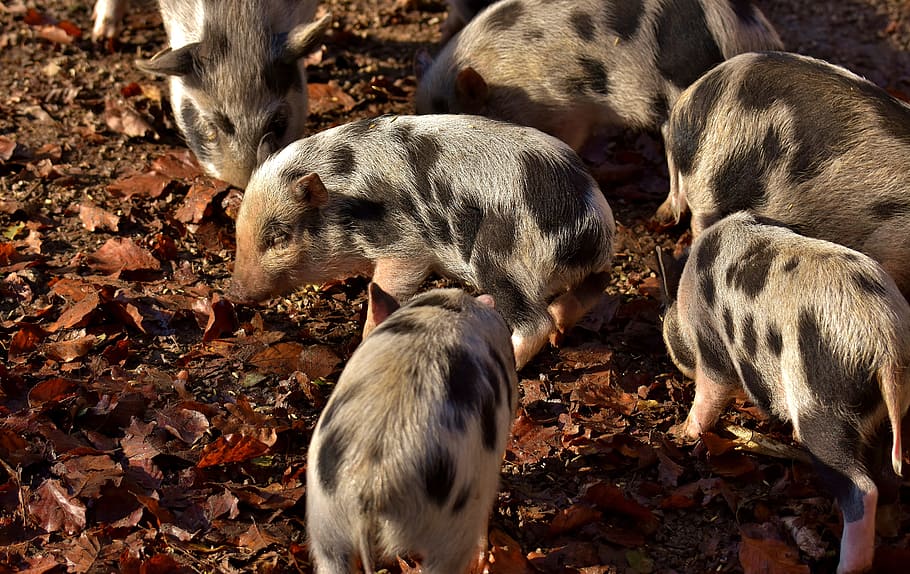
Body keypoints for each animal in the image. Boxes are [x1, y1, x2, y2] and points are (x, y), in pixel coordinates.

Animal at [228, 114, 616, 368]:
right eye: (238, 229)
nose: (233, 293)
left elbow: (390, 285)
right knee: (592, 290)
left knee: (534, 322)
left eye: (278, 237)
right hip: (581, 268)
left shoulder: (405, 246)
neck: (348, 201)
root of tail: (590, 228)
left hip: (502, 258)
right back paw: (559, 333)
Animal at [659, 211, 910, 574]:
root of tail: (887, 345)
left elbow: (711, 389)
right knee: (887, 475)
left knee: (861, 488)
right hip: (884, 415)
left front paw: (681, 434)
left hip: (822, 408)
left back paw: (846, 566)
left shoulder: (711, 342)